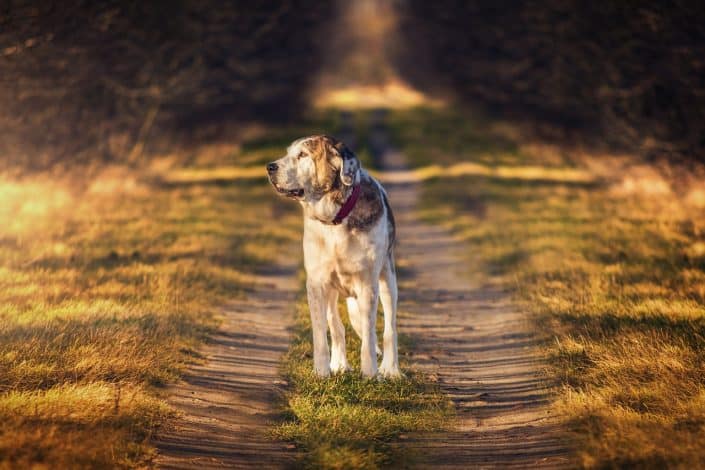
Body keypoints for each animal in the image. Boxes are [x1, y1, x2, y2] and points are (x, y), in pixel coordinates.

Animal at [266, 134, 398, 376]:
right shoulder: (316, 283)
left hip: (388, 281)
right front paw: (321, 373)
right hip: (331, 291)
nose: (270, 167)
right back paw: (340, 364)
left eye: (302, 155)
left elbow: (370, 333)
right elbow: (321, 333)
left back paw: (391, 369)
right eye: (288, 152)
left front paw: (369, 374)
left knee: (389, 328)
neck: (335, 218)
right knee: (336, 325)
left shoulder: (367, 284)